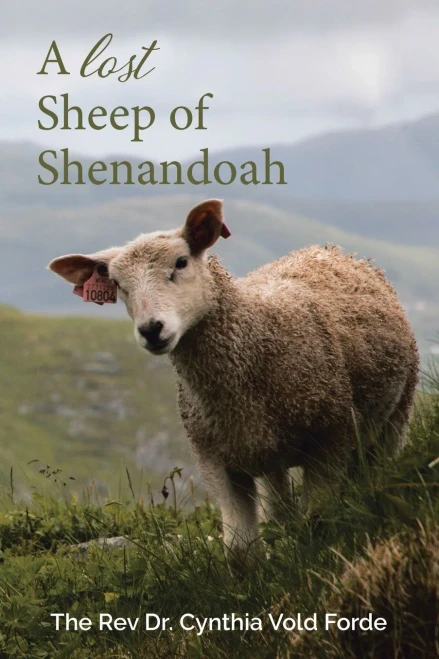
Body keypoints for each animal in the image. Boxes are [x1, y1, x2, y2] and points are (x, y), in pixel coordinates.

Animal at [49, 198, 419, 564]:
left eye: (181, 262)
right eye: (117, 283)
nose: (151, 330)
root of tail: (329, 249)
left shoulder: (331, 438)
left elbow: (318, 521)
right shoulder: (216, 460)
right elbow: (241, 552)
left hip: (396, 413)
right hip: (268, 453)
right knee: (279, 506)